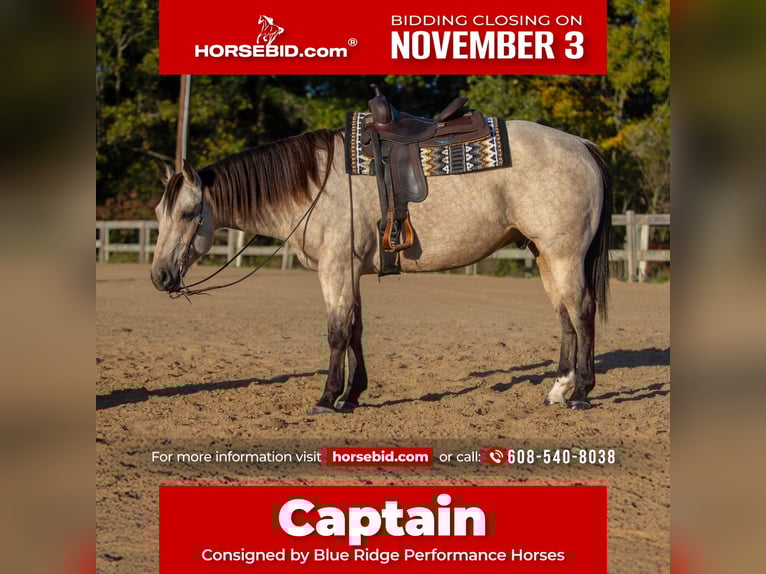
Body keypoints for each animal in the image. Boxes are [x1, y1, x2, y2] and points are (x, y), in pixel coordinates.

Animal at [150, 121, 612, 413]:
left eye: (189, 213)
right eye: (158, 212)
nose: (160, 276)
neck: (317, 185)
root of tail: (581, 144)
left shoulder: (335, 268)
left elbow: (336, 333)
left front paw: (327, 399)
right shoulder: (351, 270)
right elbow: (355, 330)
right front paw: (352, 396)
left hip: (564, 255)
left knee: (582, 312)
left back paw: (582, 393)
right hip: (545, 255)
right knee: (565, 317)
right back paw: (559, 388)